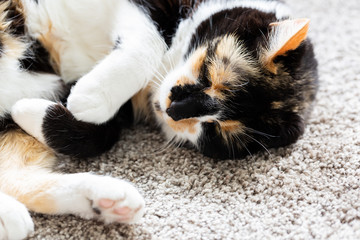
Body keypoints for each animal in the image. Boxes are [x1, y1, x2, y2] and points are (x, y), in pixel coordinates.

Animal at [0, 0, 316, 238]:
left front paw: (35, 106)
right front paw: (90, 98)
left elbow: (100, 136)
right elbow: (149, 45)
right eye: (209, 76)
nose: (174, 110)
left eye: (213, 130)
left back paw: (107, 200)